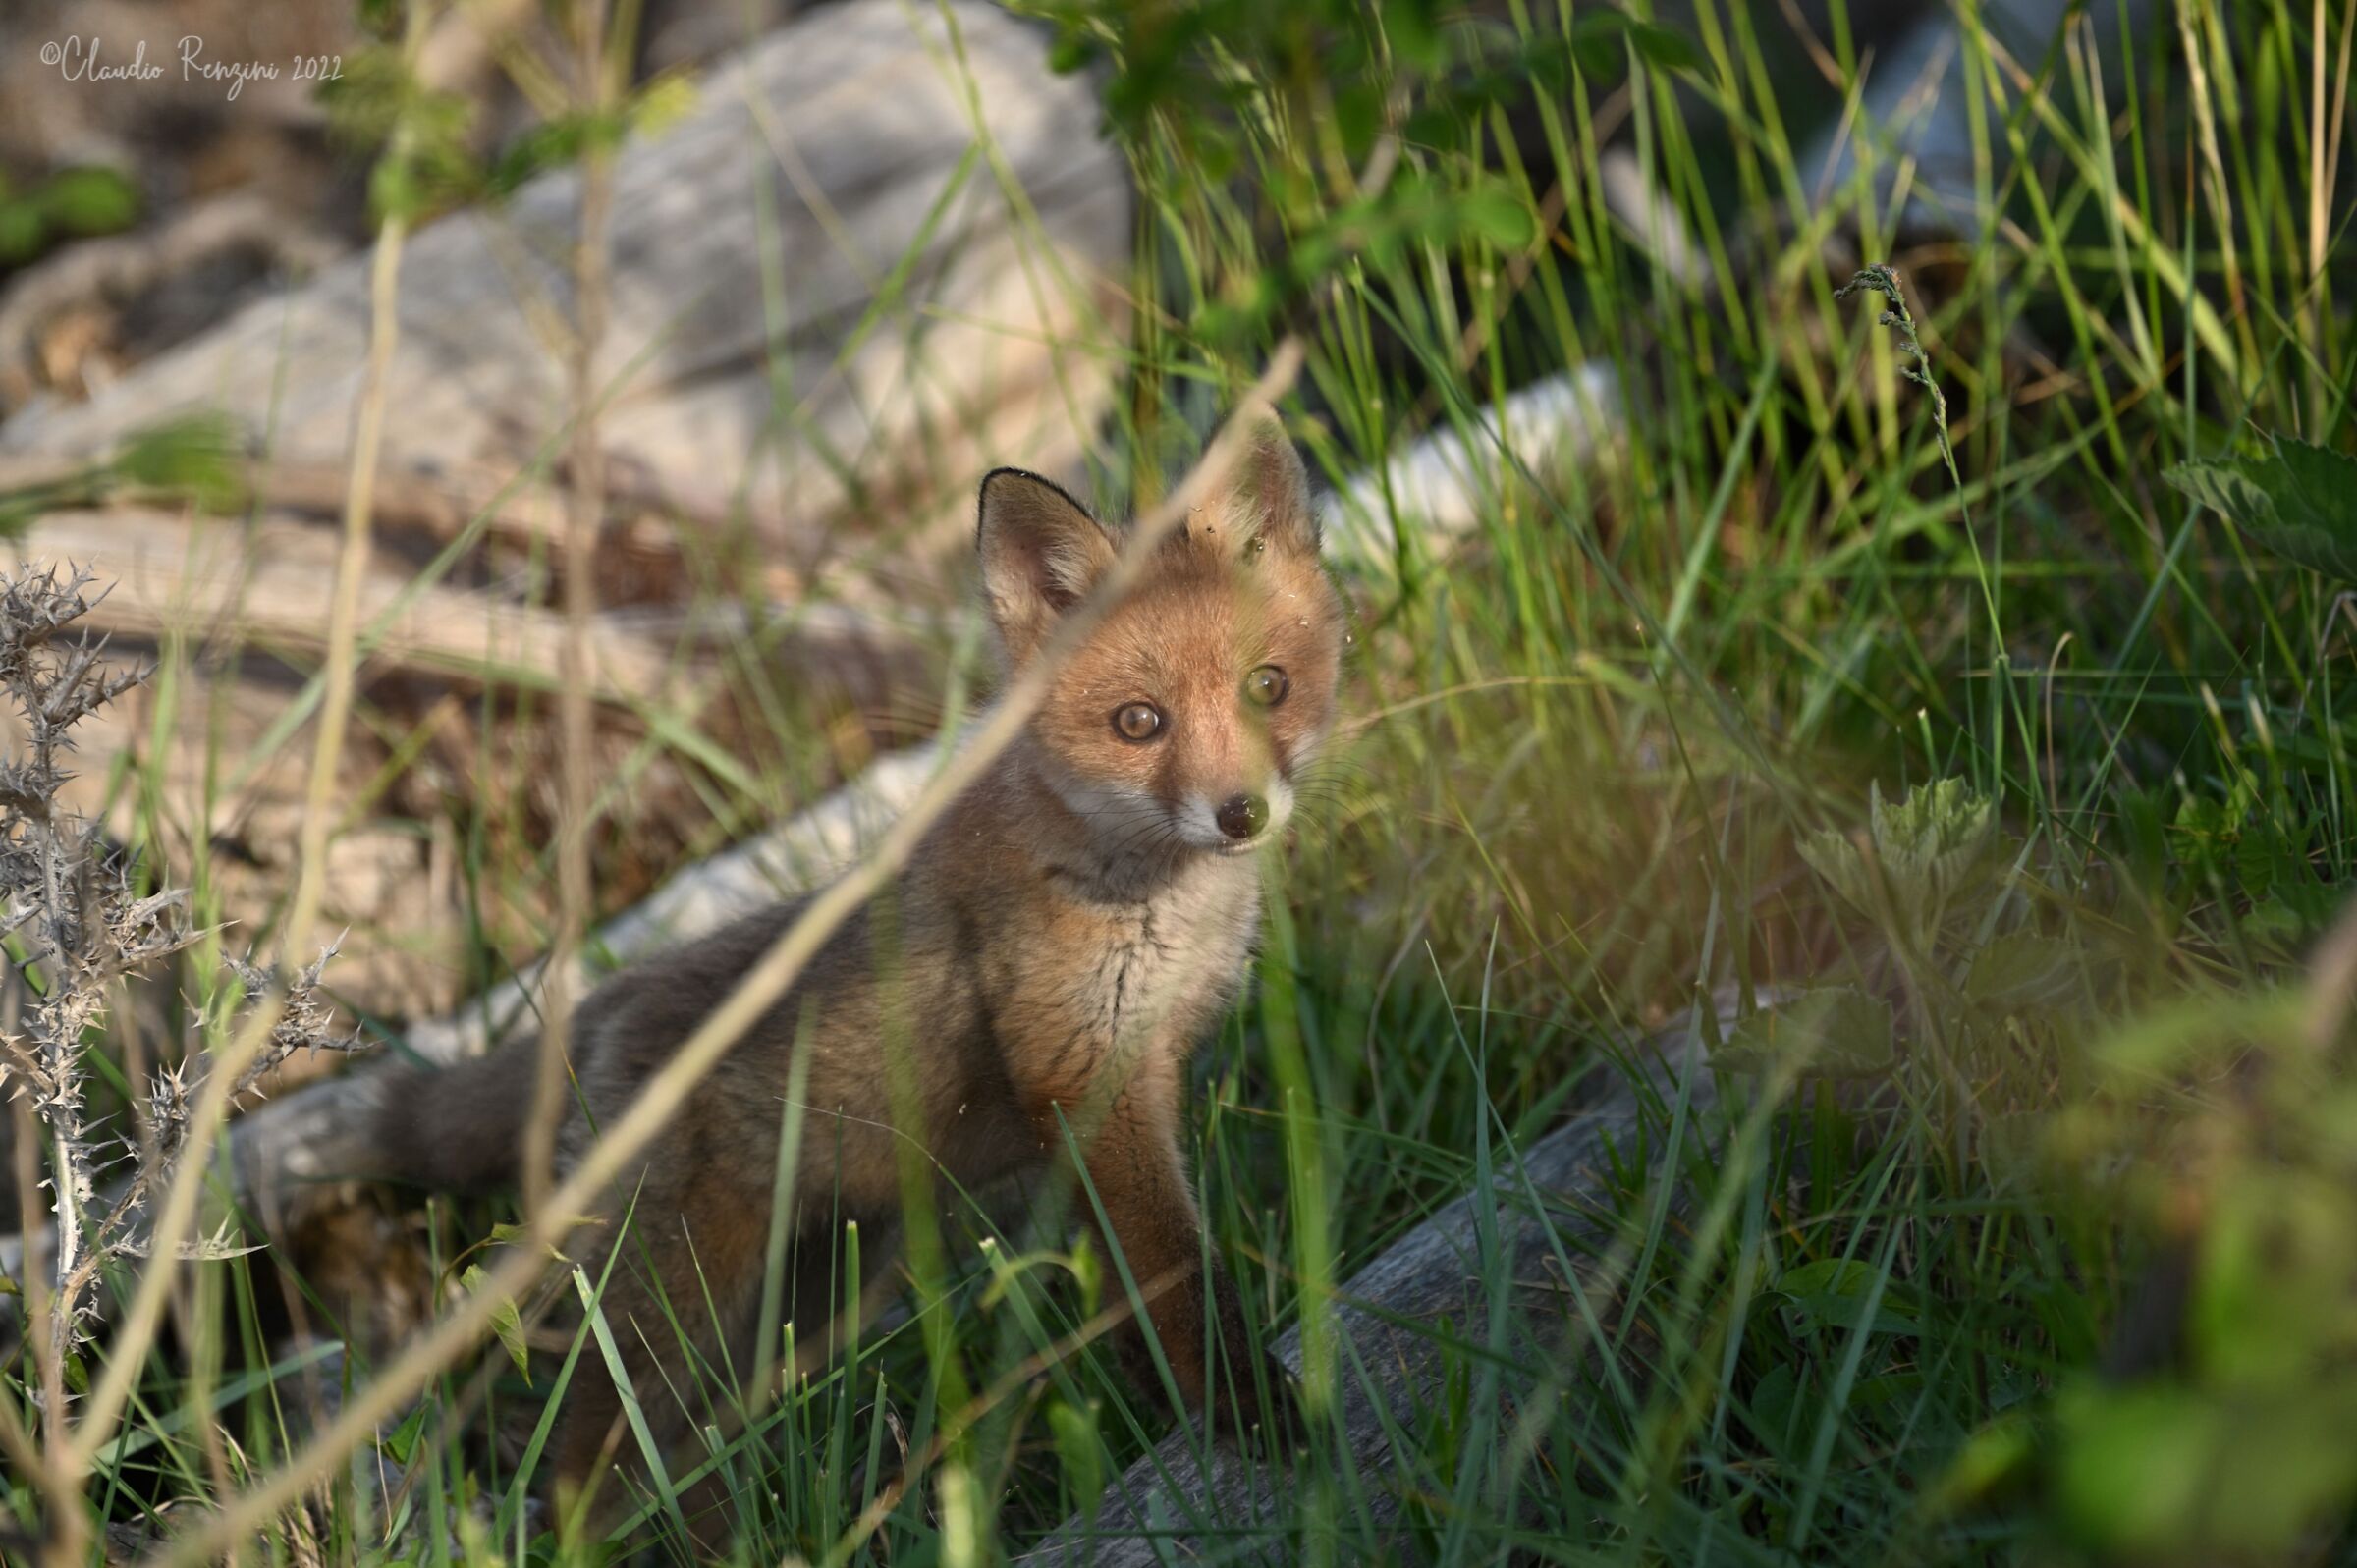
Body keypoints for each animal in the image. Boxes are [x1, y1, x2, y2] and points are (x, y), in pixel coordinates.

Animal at [227, 412, 1346, 1529]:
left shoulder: (1134, 1082)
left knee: (674, 1454)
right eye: (1138, 722)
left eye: (1268, 687)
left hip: (811, 1301)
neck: (1150, 898)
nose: (1242, 813)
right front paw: (1247, 1409)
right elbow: (1177, 1282)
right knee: (582, 1471)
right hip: (676, 1307)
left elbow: (1134, 1294)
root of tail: (598, 1009)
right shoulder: (1085, 1084)